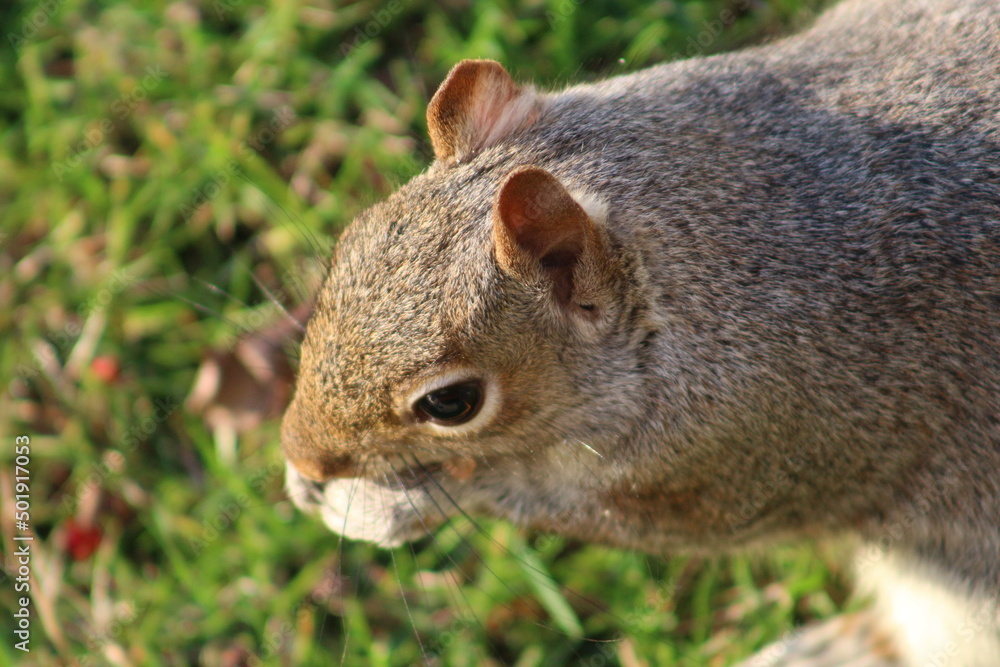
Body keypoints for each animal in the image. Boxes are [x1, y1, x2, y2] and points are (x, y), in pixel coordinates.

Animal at [280, 0, 1000, 664]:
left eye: (451, 403)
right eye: (350, 243)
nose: (299, 452)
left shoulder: (755, 448)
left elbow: (591, 509)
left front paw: (383, 506)